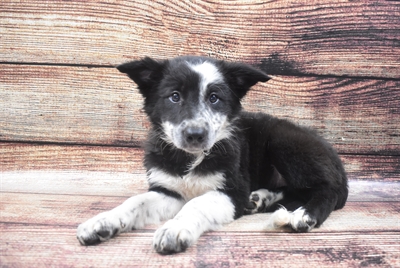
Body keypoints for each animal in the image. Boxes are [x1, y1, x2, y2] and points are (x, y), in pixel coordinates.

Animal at [77, 56, 346, 253]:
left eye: (215, 98)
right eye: (174, 96)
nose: (195, 134)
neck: (191, 158)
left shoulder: (232, 191)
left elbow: (197, 203)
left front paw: (174, 229)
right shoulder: (168, 190)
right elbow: (135, 202)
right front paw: (101, 222)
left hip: (285, 143)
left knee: (325, 191)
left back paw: (304, 215)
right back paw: (260, 199)